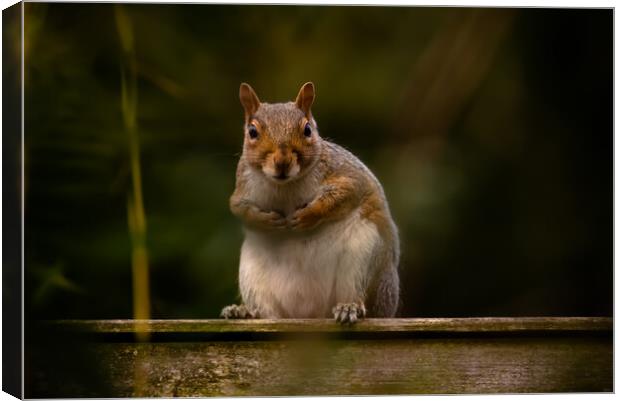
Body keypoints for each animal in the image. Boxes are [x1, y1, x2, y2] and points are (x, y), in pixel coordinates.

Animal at [220, 83, 400, 324]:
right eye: (252, 132)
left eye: (307, 130)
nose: (282, 162)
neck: (285, 186)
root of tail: (309, 314)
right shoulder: (242, 187)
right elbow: (239, 209)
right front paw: (267, 221)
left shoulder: (346, 175)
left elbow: (345, 194)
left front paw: (307, 216)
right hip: (252, 274)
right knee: (268, 312)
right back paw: (244, 312)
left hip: (365, 259)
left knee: (358, 291)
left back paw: (349, 307)